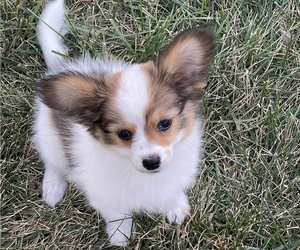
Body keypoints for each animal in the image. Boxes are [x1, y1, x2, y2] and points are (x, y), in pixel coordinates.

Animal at [32, 0, 214, 246]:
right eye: (124, 134)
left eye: (165, 123)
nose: (151, 162)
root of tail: (61, 66)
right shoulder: (104, 194)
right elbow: (117, 215)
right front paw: (121, 235)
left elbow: (171, 190)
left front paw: (176, 205)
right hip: (49, 136)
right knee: (53, 162)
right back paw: (53, 187)